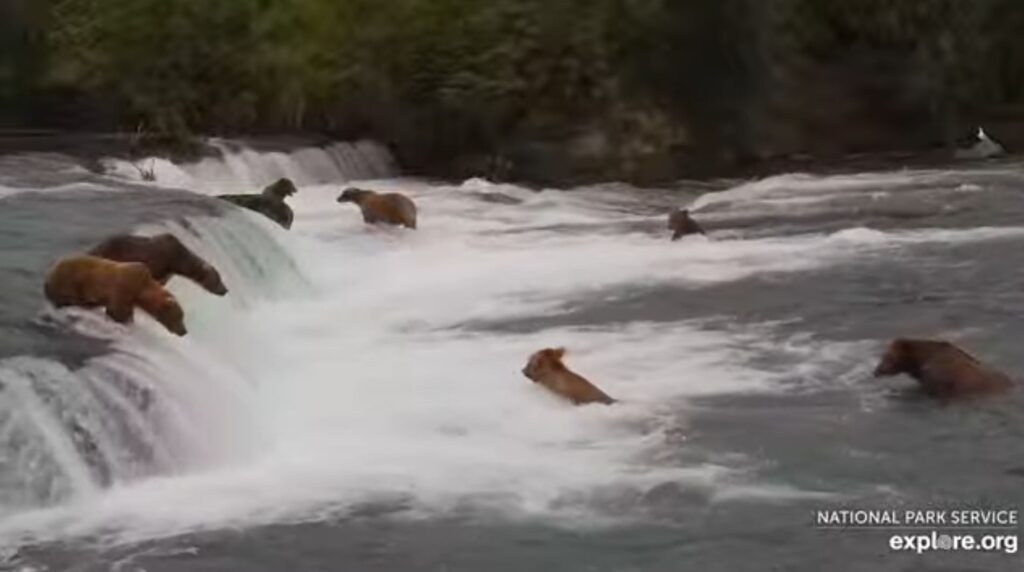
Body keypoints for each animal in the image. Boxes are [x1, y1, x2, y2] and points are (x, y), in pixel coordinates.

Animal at [44, 254, 190, 335]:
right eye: (179, 316)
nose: (184, 331)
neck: (141, 290)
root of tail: (50, 272)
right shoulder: (122, 290)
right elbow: (118, 312)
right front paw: (123, 321)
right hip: (69, 283)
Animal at [89, 233, 227, 294]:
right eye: (218, 280)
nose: (225, 290)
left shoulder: (167, 273)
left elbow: (161, 282)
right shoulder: (158, 263)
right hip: (113, 251)